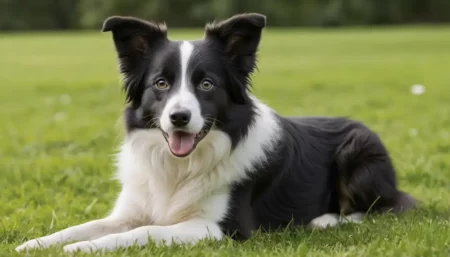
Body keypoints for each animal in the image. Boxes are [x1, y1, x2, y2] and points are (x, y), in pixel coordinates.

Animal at [15, 13, 416, 251]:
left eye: (206, 85)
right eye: (161, 83)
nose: (179, 117)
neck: (181, 166)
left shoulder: (220, 228)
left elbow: (142, 232)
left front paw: (81, 250)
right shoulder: (131, 209)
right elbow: (84, 226)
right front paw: (36, 244)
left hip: (359, 150)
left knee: (381, 208)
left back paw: (325, 219)